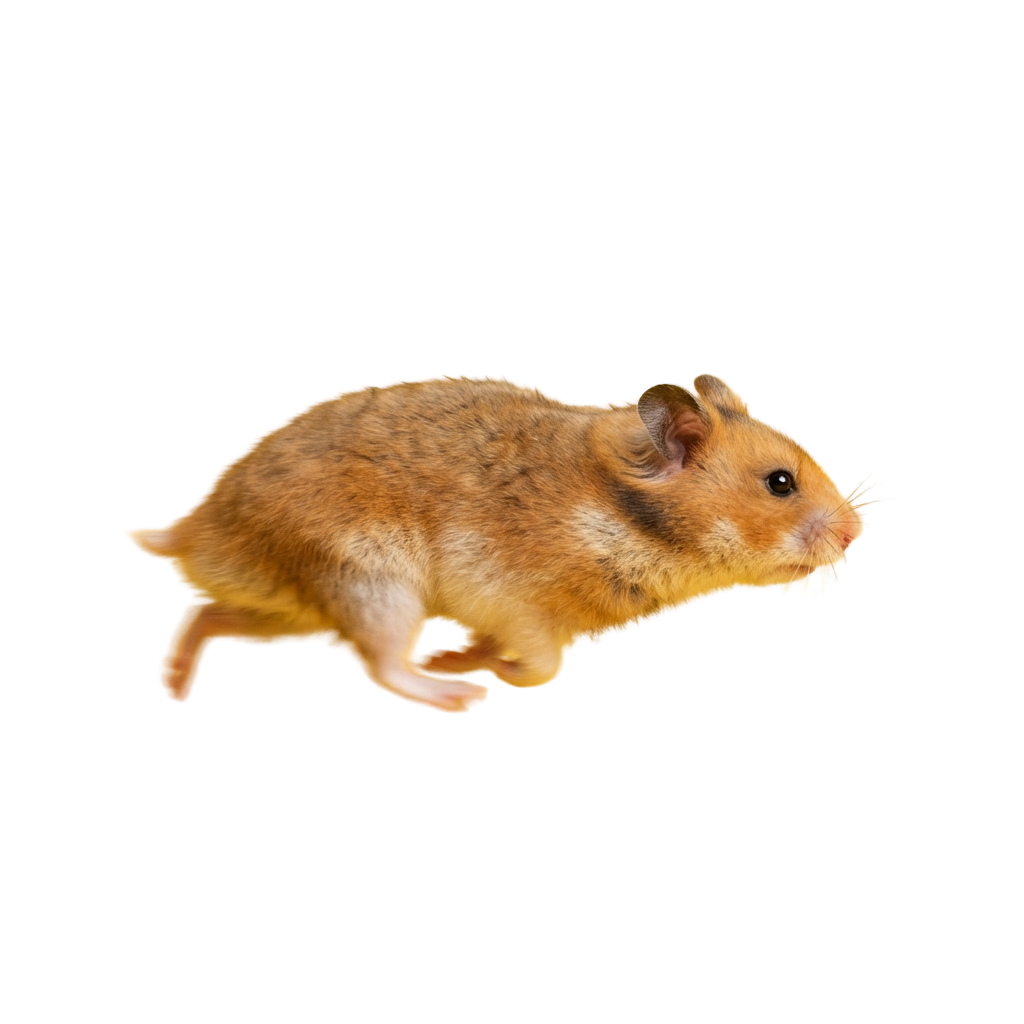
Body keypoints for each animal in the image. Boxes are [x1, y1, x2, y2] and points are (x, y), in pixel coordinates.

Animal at [126, 374, 887, 713]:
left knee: (203, 614)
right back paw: (456, 691)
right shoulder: (525, 610)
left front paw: (467, 655)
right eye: (781, 483)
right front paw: (473, 665)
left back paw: (174, 687)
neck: (633, 524)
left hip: (291, 609)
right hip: (372, 583)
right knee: (383, 666)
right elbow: (540, 671)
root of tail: (194, 525)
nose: (860, 530)